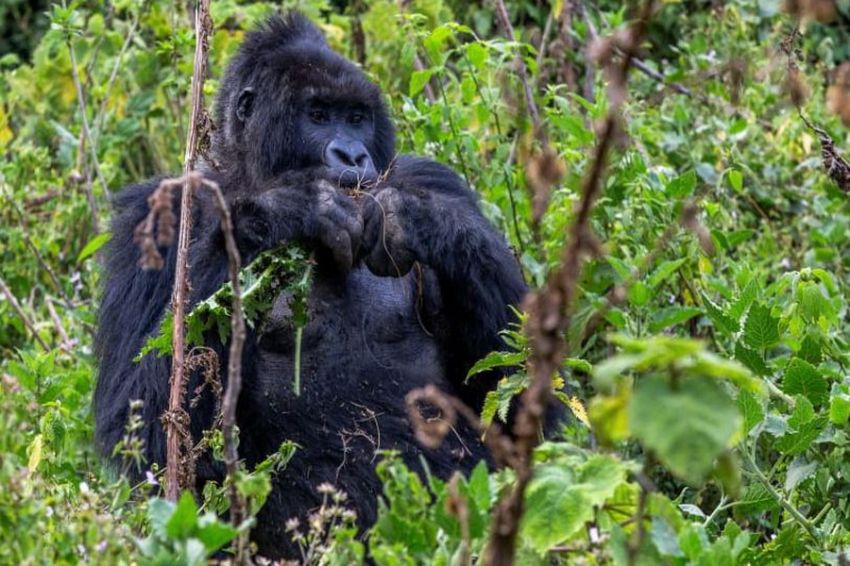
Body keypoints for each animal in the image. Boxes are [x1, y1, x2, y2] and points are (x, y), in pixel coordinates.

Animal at [96, 11, 528, 560]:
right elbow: (148, 430)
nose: (353, 153)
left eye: (357, 117)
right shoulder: (155, 216)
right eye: (318, 115)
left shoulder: (434, 176)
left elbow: (510, 392)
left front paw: (421, 218)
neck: (248, 173)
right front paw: (288, 210)